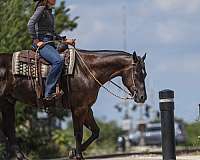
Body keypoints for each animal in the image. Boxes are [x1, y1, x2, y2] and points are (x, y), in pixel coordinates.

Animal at [0, 49, 147, 159]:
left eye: (144, 74)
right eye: (136, 73)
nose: (142, 97)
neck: (87, 71)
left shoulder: (87, 108)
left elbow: (95, 131)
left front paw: (73, 152)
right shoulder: (78, 108)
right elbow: (78, 133)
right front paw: (78, 155)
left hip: (7, 101)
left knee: (9, 129)